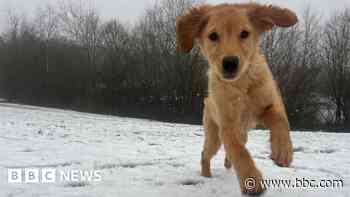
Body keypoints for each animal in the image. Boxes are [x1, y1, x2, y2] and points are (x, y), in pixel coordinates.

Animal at [176, 3, 296, 195]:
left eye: (244, 33)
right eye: (213, 36)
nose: (230, 63)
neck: (242, 84)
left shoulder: (270, 103)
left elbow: (280, 120)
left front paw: (282, 151)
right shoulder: (227, 125)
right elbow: (239, 151)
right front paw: (251, 179)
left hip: (242, 133)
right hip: (214, 136)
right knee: (206, 153)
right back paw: (206, 175)